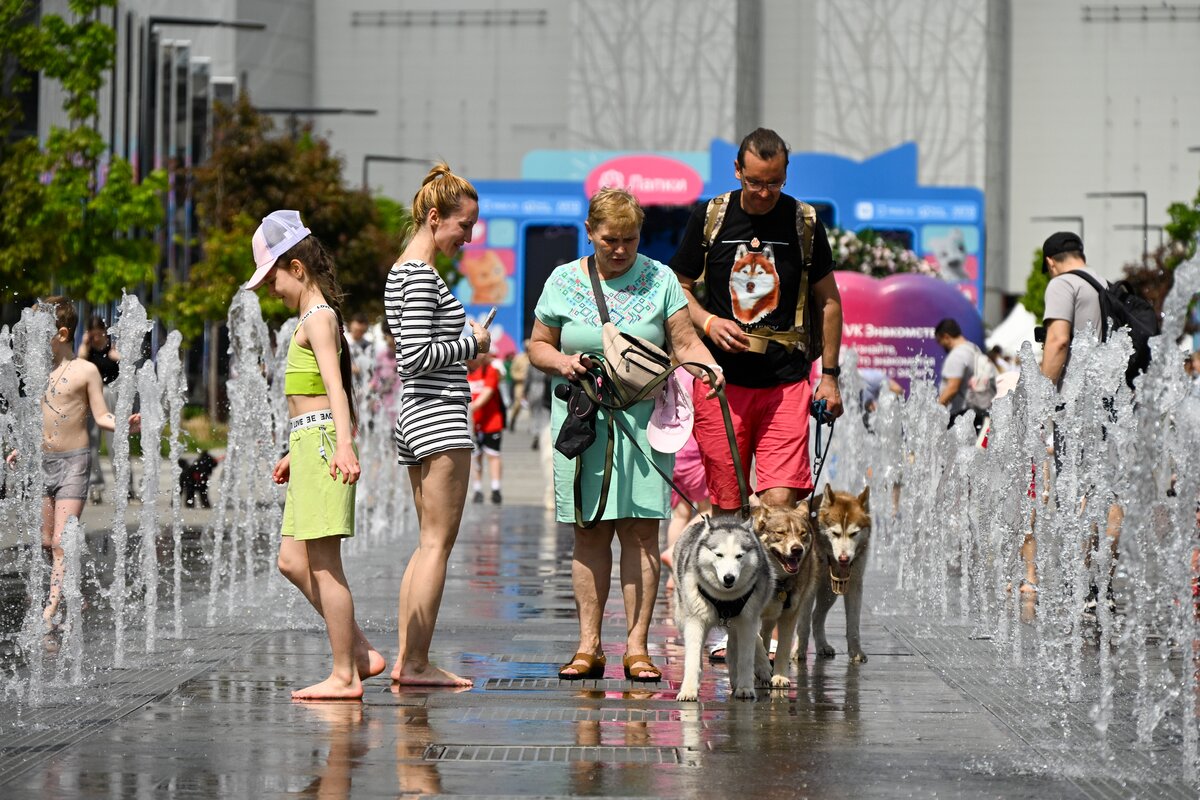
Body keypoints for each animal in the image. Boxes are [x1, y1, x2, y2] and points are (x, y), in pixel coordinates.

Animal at [673, 514, 774, 701]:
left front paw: (745, 687)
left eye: (739, 556)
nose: (729, 578)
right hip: (682, 615)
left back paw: (759, 668)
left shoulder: (747, 621)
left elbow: (746, 658)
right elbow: (692, 658)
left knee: (740, 643)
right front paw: (689, 689)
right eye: (718, 555)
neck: (724, 597)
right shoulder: (695, 620)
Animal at [752, 503, 817, 688]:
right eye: (780, 533)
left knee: (766, 633)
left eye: (802, 533)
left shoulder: (789, 614)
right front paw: (762, 667)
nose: (797, 549)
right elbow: (755, 641)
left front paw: (780, 676)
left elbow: (783, 647)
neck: (776, 579)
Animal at [795, 485, 872, 664]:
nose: (844, 558)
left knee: (817, 616)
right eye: (835, 533)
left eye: (854, 533)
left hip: (830, 592)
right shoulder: (809, 587)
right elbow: (803, 623)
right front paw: (798, 651)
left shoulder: (854, 585)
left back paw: (822, 645)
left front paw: (856, 652)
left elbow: (853, 624)